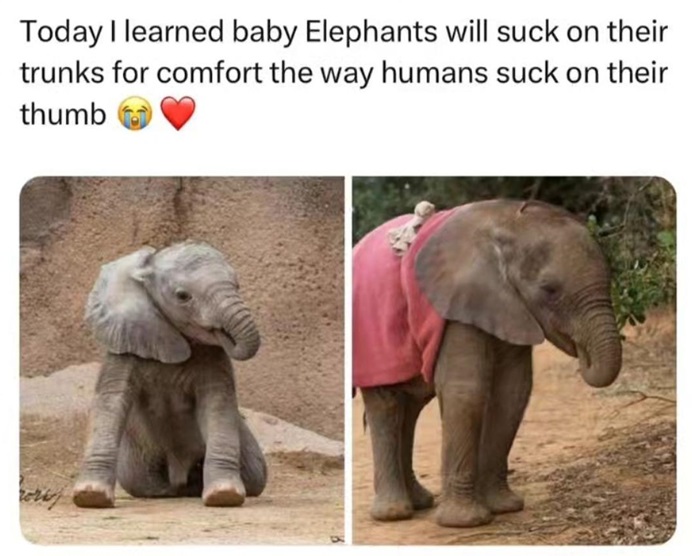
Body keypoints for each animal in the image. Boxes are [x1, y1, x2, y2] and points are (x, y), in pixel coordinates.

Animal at [72, 241, 267, 508]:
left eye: (237, 286)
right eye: (182, 296)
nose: (225, 334)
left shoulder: (214, 355)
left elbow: (217, 403)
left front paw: (224, 495)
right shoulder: (124, 341)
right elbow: (111, 400)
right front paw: (91, 496)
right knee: (140, 481)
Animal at [352, 199, 622, 528]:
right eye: (550, 290)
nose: (582, 352)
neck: (508, 225)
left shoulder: (510, 305)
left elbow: (513, 391)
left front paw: (505, 507)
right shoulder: (458, 301)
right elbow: (466, 390)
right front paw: (465, 522)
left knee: (411, 407)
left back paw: (420, 502)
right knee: (387, 404)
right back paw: (394, 514)